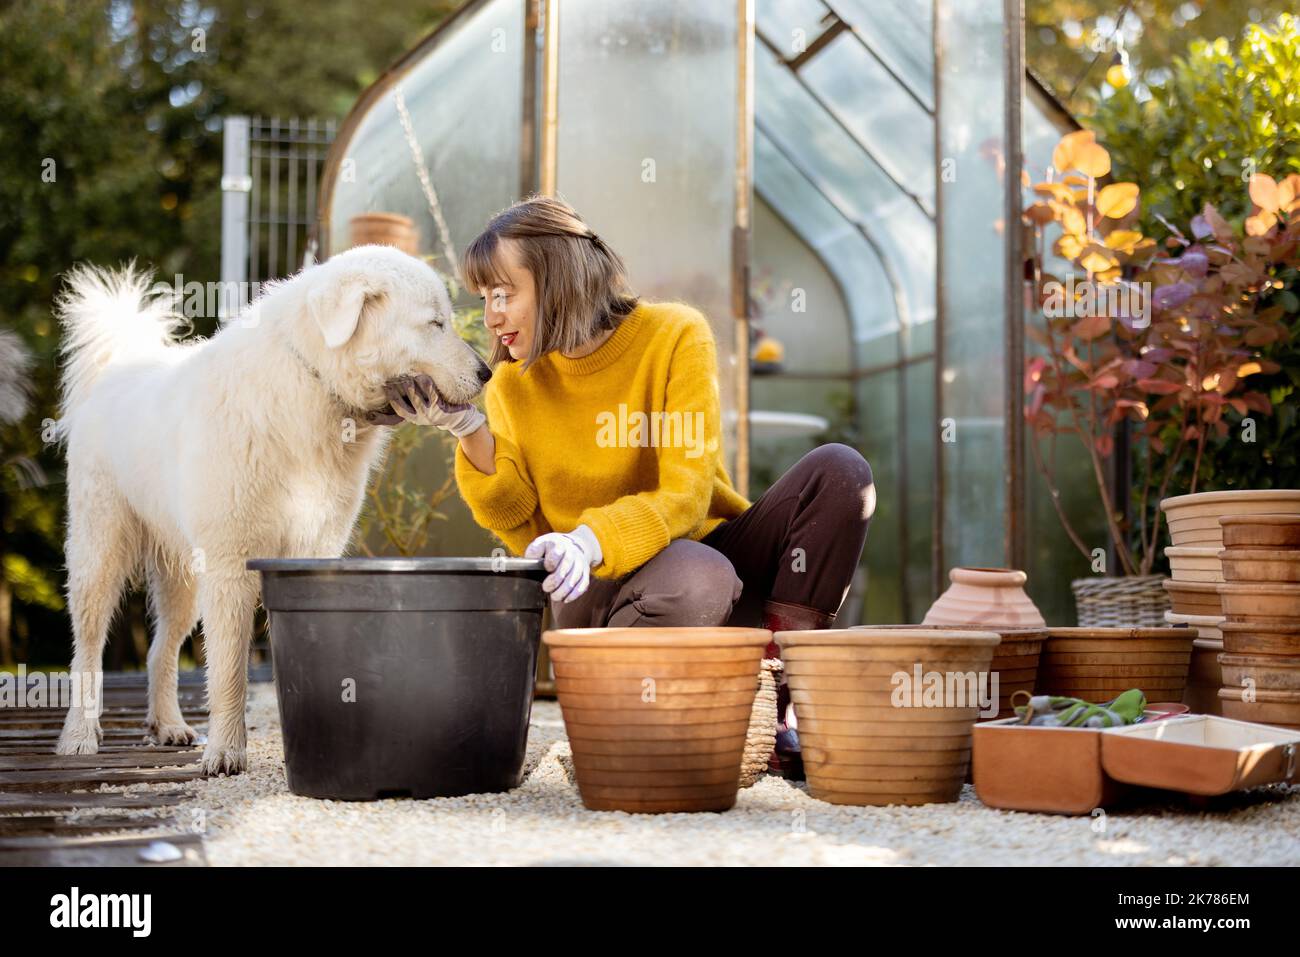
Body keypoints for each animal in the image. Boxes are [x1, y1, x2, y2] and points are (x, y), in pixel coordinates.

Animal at [49, 243, 488, 774]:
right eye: (435, 324)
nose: (487, 373)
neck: (315, 389)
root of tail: (118, 366)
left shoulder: (311, 553)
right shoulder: (230, 565)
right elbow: (228, 672)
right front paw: (225, 754)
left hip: (185, 579)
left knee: (160, 651)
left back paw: (168, 725)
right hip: (101, 556)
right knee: (87, 651)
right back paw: (79, 736)